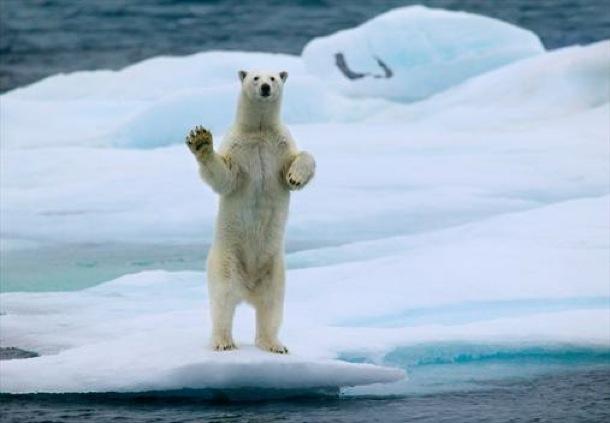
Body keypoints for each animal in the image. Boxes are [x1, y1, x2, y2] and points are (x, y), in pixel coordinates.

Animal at [185, 70, 314, 354]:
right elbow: (224, 177)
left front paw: (296, 177)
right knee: (223, 300)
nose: (265, 87)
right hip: (226, 259)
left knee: (271, 306)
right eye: (255, 77)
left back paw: (274, 344)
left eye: (274, 77)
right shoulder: (238, 149)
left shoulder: (280, 146)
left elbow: (302, 159)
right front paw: (200, 139)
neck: (259, 131)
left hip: (274, 269)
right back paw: (223, 341)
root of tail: (247, 289)